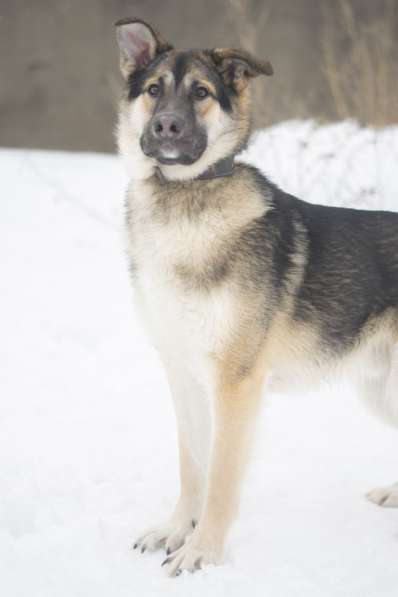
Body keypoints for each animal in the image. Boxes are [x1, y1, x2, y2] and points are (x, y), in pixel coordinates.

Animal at [114, 18, 398, 576]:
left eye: (201, 92)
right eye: (154, 90)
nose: (166, 128)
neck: (183, 197)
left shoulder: (235, 383)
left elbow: (222, 478)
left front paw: (202, 552)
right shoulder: (182, 374)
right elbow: (192, 466)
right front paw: (177, 530)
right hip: (380, 391)